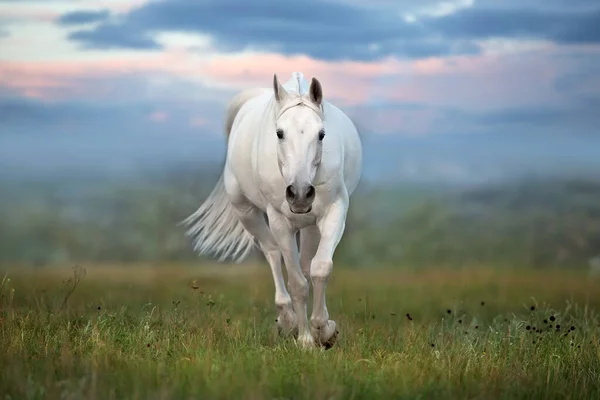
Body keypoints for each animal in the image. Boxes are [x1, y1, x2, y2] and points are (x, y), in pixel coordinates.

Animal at [183, 72, 360, 350]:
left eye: (321, 134)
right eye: (279, 133)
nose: (300, 193)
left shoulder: (334, 212)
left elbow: (320, 268)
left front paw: (324, 330)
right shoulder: (280, 222)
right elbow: (297, 283)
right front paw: (306, 339)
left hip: (309, 225)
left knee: (307, 264)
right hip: (247, 212)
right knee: (273, 253)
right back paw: (287, 320)